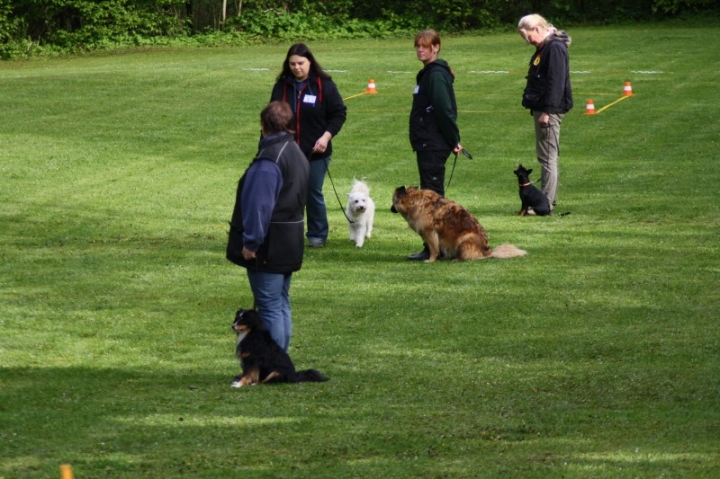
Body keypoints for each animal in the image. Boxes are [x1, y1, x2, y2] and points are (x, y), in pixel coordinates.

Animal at [390, 187, 524, 262]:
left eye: (392, 200)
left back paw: (456, 259)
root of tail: (487, 252)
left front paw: (431, 260)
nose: (390, 209)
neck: (415, 201)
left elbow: (433, 249)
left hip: (463, 239)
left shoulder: (430, 233)